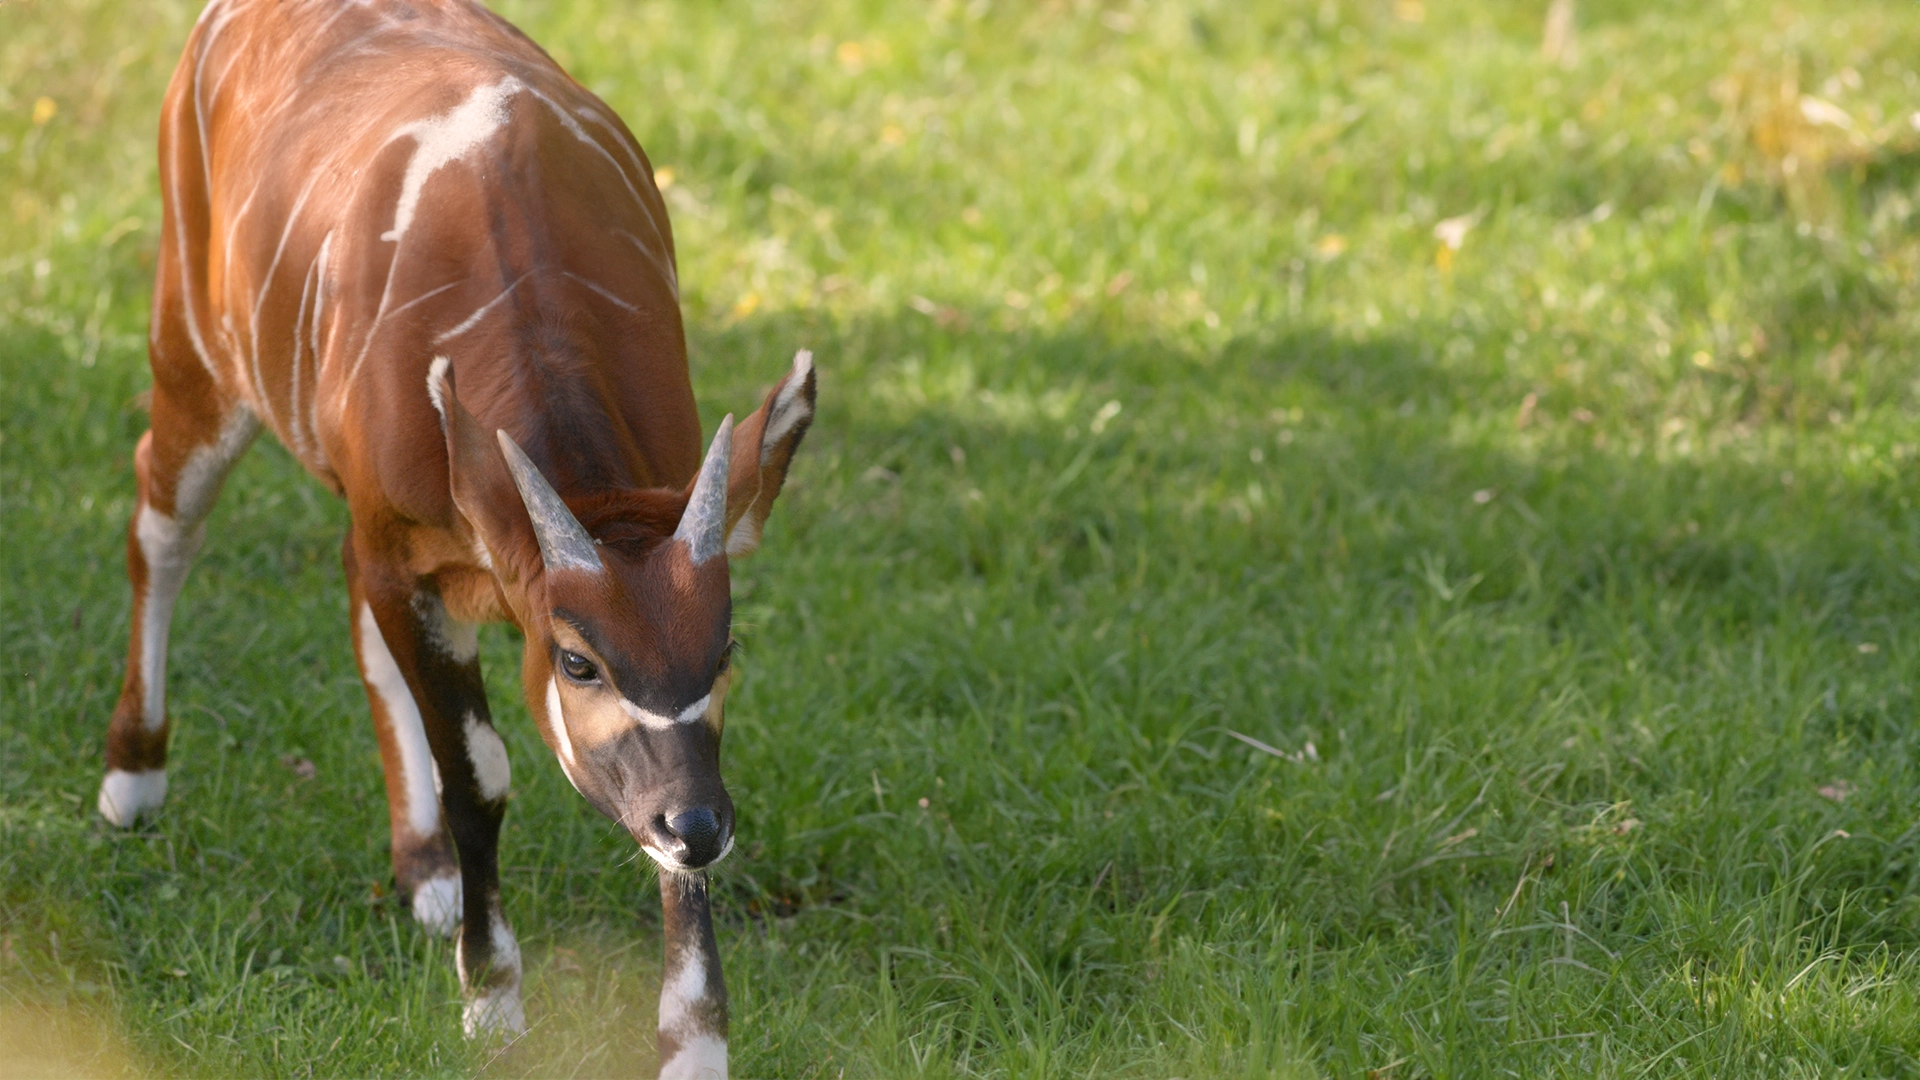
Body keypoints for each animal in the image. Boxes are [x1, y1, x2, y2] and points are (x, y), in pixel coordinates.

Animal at [95, 6, 817, 1068]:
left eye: (725, 647)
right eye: (577, 661)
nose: (701, 826)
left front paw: (696, 1047)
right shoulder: (411, 557)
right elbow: (479, 770)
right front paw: (492, 1004)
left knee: (341, 592)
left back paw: (424, 870)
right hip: (193, 345)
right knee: (162, 516)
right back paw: (134, 779)